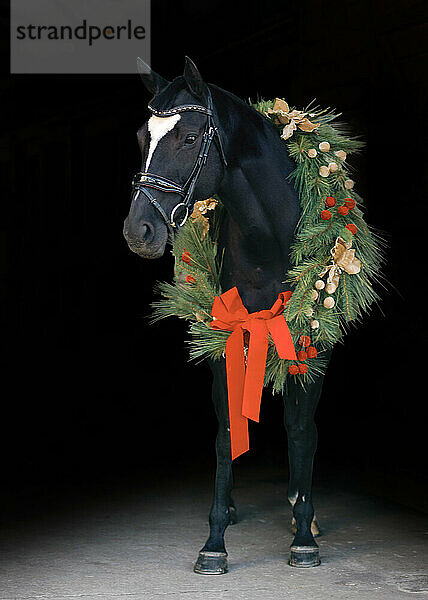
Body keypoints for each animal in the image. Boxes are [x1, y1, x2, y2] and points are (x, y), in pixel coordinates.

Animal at [123, 58, 332, 576]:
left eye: (188, 138)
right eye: (142, 136)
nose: (139, 230)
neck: (270, 239)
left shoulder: (310, 339)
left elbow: (301, 430)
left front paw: (303, 536)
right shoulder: (223, 336)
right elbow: (225, 434)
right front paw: (214, 540)